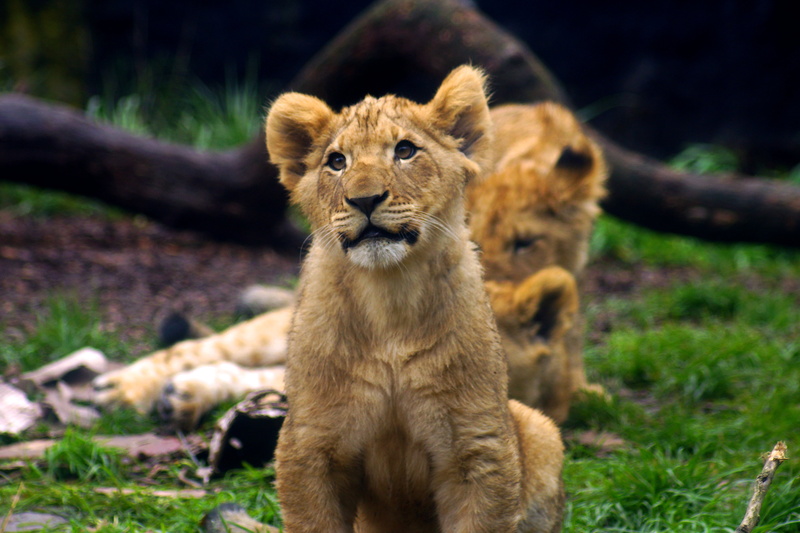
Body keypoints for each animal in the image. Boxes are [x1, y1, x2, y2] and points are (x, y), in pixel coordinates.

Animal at [262, 64, 563, 533]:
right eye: (337, 161)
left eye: (404, 151)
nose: (364, 199)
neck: (390, 299)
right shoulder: (311, 444)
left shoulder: (479, 446)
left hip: (539, 428)